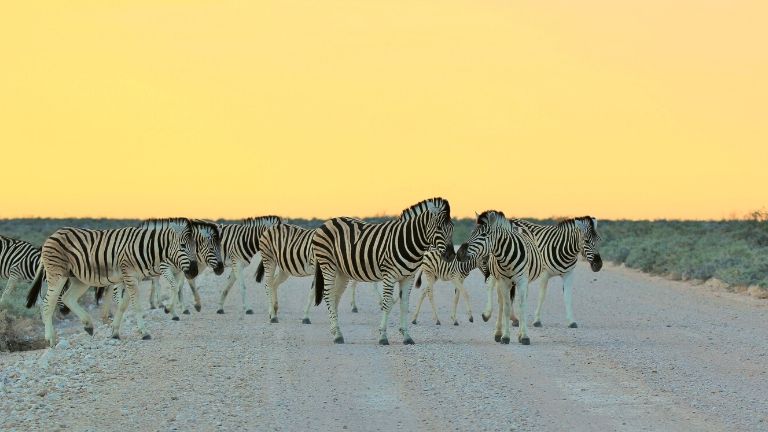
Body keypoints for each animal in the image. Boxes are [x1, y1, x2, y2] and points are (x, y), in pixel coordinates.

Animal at [26, 218, 201, 346]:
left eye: (195, 246)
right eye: (182, 246)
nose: (194, 272)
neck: (146, 249)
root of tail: (52, 235)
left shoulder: (131, 278)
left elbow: (123, 306)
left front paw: (115, 332)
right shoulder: (130, 276)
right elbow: (136, 306)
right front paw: (144, 332)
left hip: (80, 279)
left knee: (67, 297)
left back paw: (88, 325)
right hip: (57, 274)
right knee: (48, 303)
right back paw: (51, 339)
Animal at [314, 198, 456, 344]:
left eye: (452, 228)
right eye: (438, 228)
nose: (450, 255)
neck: (408, 242)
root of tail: (327, 222)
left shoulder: (408, 277)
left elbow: (404, 305)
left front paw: (406, 336)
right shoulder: (389, 275)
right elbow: (387, 304)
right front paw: (383, 336)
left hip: (342, 271)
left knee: (335, 297)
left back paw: (336, 331)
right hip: (328, 265)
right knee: (328, 295)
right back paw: (337, 335)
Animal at [456, 211, 540, 346]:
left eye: (484, 235)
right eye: (472, 233)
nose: (459, 254)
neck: (508, 257)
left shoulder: (522, 281)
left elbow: (522, 307)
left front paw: (524, 336)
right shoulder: (503, 281)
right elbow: (506, 307)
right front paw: (505, 337)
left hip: (523, 282)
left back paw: (519, 333)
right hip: (499, 280)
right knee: (500, 303)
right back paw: (498, 333)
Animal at [480, 218, 608, 330]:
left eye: (599, 240)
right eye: (586, 241)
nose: (598, 265)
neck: (564, 249)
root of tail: (510, 220)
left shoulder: (569, 274)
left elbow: (568, 297)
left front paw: (571, 321)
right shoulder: (544, 273)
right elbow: (542, 296)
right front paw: (537, 321)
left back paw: (514, 319)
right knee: (491, 285)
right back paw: (487, 314)